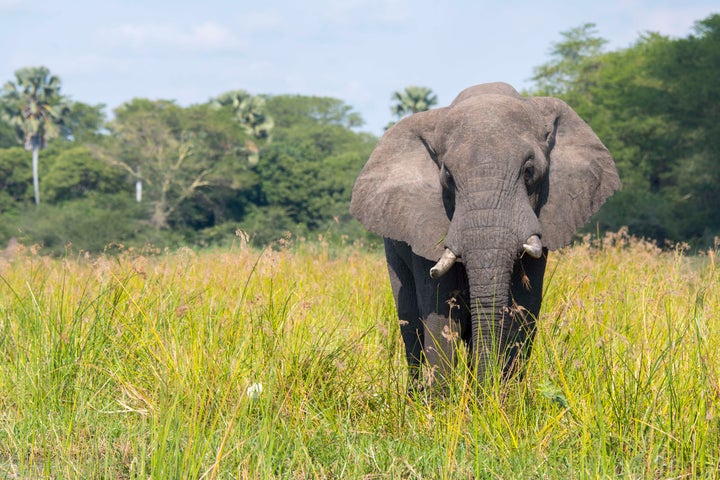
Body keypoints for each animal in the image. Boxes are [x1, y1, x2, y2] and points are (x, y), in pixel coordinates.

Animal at [348, 82, 620, 390]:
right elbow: (440, 313)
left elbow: (522, 311)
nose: (484, 390)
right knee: (409, 321)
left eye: (529, 171)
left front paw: (501, 398)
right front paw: (444, 401)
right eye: (448, 177)